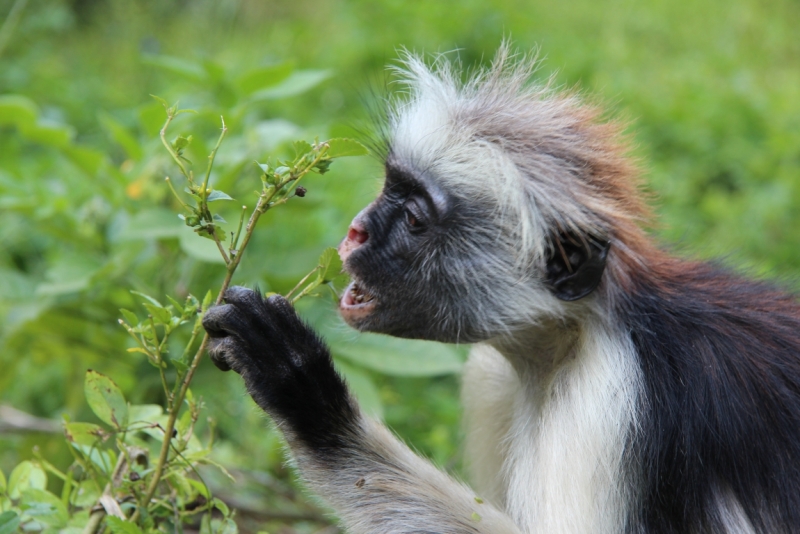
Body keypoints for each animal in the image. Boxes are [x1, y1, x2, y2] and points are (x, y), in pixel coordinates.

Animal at [203, 48, 800, 532]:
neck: (568, 342)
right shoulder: (493, 376)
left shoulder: (605, 403)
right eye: (391, 187)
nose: (355, 231)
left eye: (414, 220)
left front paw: (311, 404)